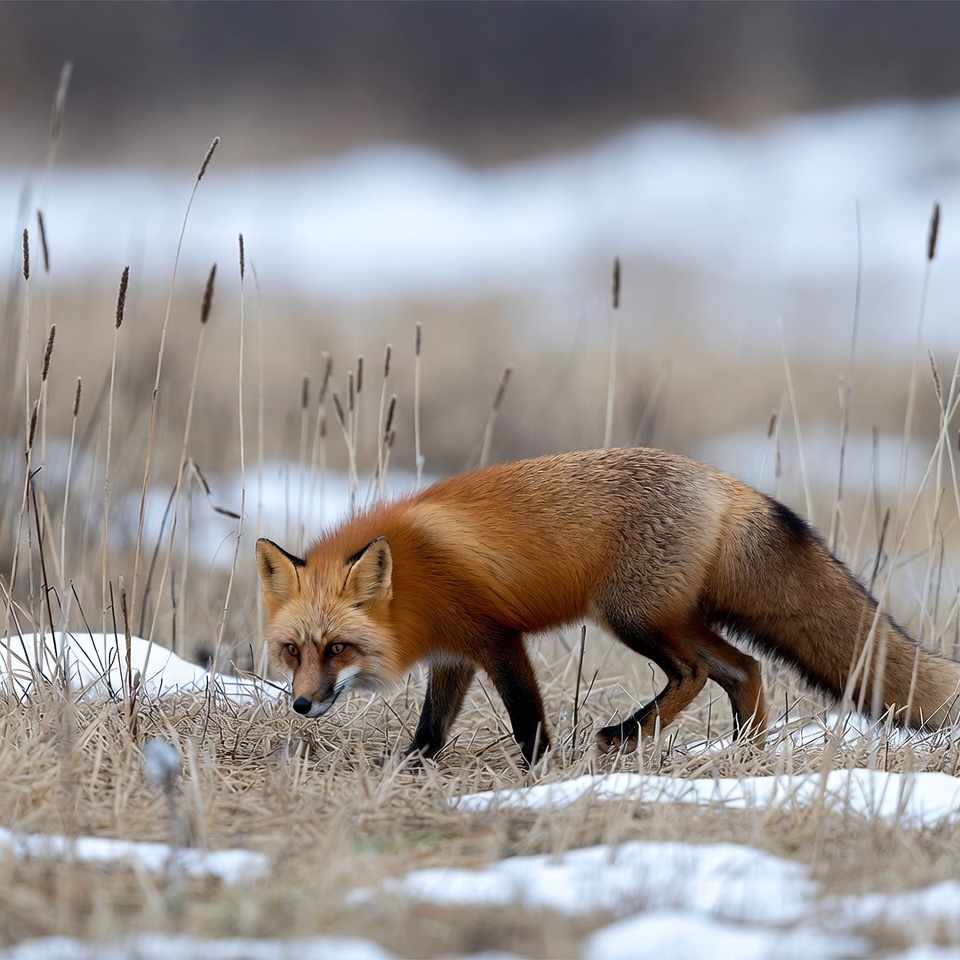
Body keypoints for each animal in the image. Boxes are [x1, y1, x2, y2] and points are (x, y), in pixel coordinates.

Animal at [256, 447, 960, 769]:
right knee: (744, 669)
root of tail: (725, 482)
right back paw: (744, 756)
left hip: (632, 619)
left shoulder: (496, 638)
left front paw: (538, 773)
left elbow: (526, 717)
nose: (301, 705)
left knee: (698, 673)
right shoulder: (454, 655)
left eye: (338, 648)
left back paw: (627, 734)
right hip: (672, 619)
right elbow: (432, 727)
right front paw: (408, 766)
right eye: (293, 651)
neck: (414, 581)